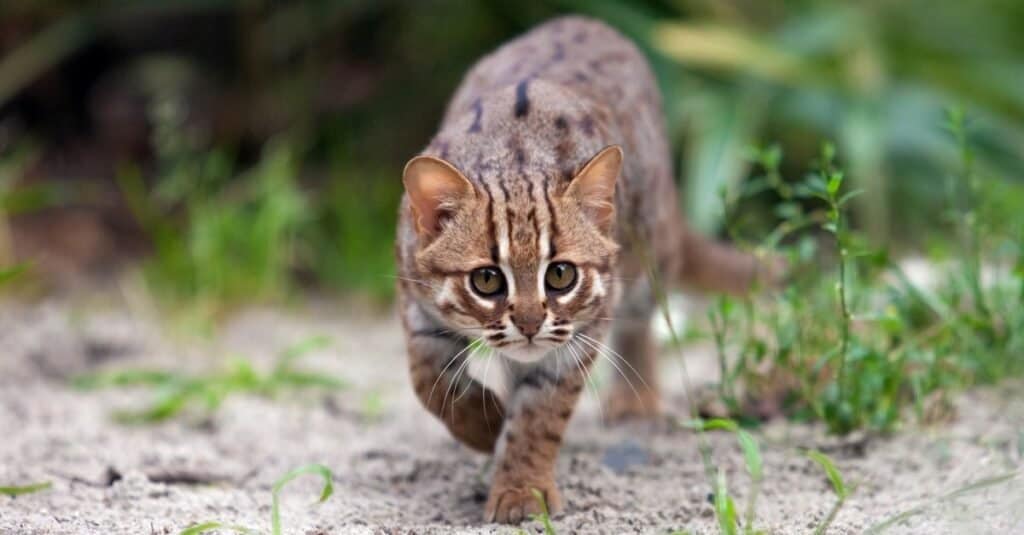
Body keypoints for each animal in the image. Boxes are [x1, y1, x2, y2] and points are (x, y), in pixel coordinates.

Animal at [395, 15, 765, 520]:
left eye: (561, 275)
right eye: (487, 280)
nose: (530, 325)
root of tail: (584, 20)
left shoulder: (581, 331)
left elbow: (541, 415)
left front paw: (521, 488)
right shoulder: (416, 302)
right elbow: (428, 380)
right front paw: (486, 425)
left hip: (649, 252)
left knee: (641, 320)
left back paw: (635, 400)